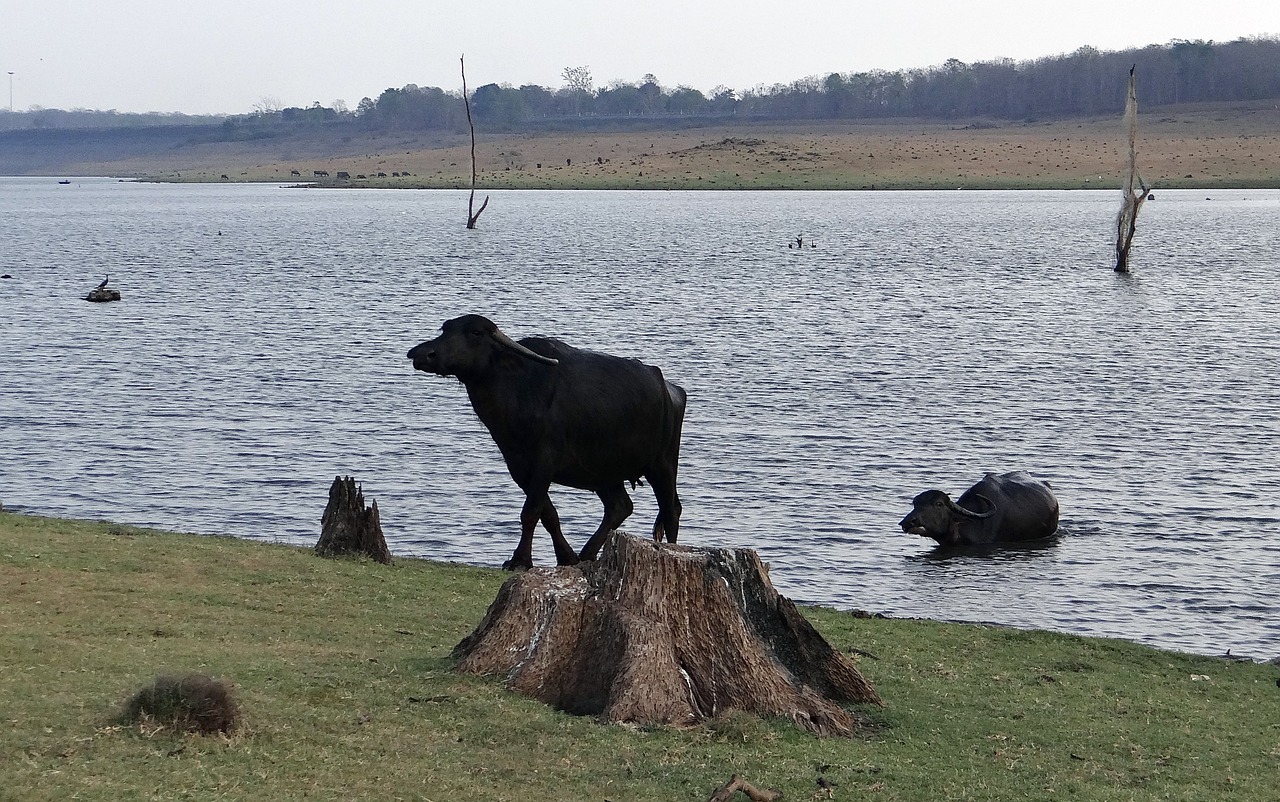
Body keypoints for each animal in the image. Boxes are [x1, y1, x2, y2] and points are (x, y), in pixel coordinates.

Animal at [409, 313, 691, 570]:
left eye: (475, 333)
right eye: (445, 329)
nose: (421, 354)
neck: (519, 388)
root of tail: (671, 390)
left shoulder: (545, 461)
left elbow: (531, 512)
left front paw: (520, 561)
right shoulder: (519, 467)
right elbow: (548, 514)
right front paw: (566, 557)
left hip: (662, 464)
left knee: (671, 510)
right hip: (604, 472)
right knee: (620, 506)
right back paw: (587, 554)